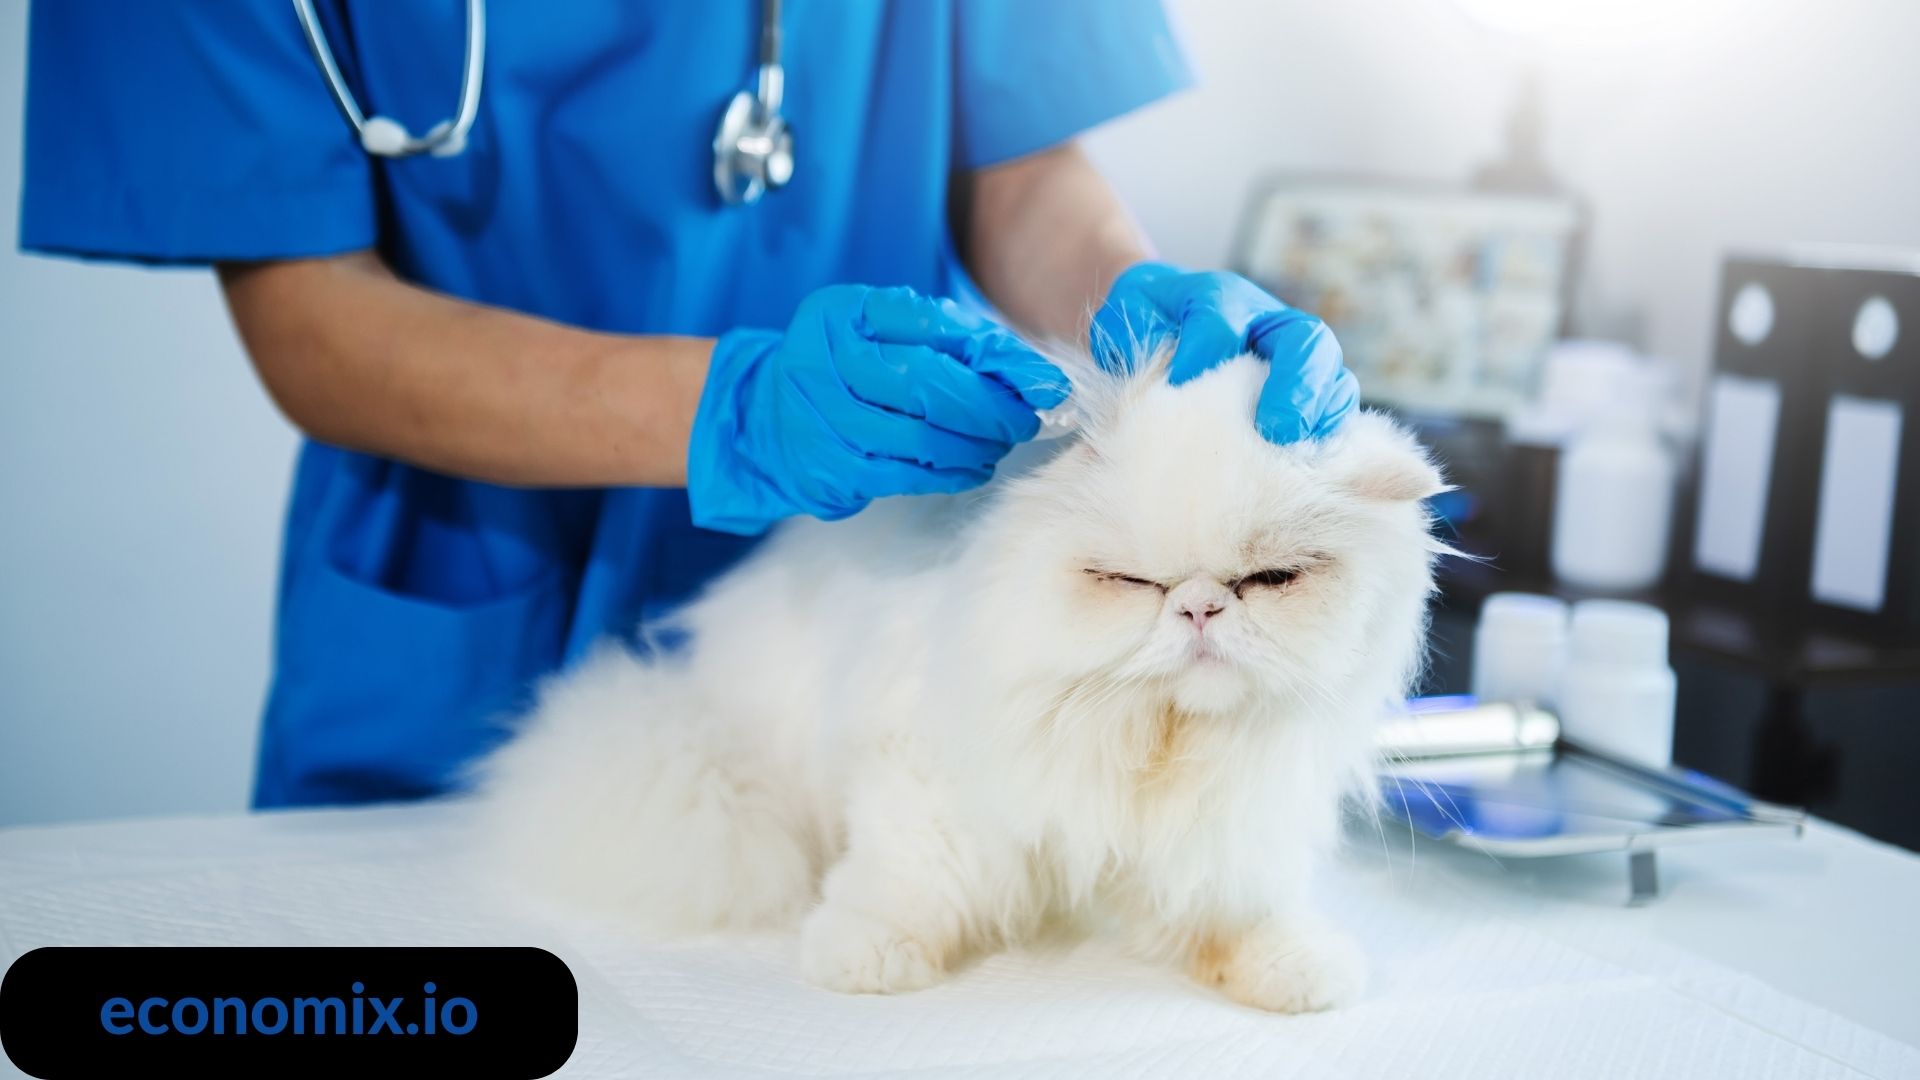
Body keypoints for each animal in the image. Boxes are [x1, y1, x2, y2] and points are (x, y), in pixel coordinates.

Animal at [480, 345, 1443, 1006]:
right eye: (1131, 582)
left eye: (1269, 581)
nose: (1200, 608)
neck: (1146, 740)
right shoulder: (930, 776)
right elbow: (915, 882)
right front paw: (865, 956)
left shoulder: (1225, 824)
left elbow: (1237, 912)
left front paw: (1293, 966)